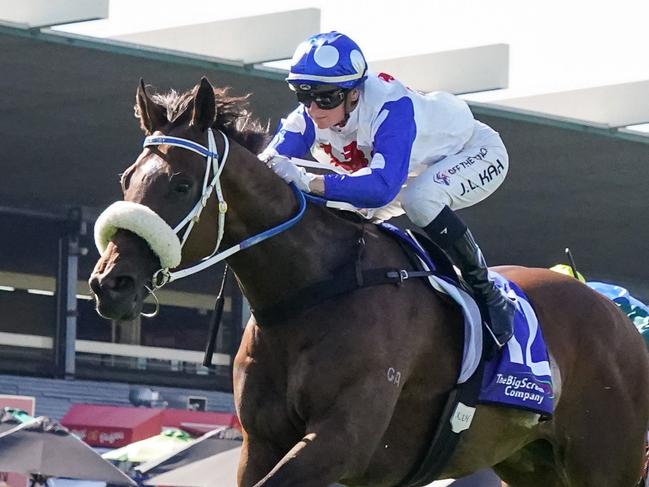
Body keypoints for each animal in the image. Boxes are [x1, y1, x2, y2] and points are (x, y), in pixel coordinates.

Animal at [87, 78, 648, 486]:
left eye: (182, 184)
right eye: (126, 179)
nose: (110, 284)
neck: (310, 295)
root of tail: (617, 312)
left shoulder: (342, 441)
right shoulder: (259, 443)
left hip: (607, 459)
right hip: (532, 463)